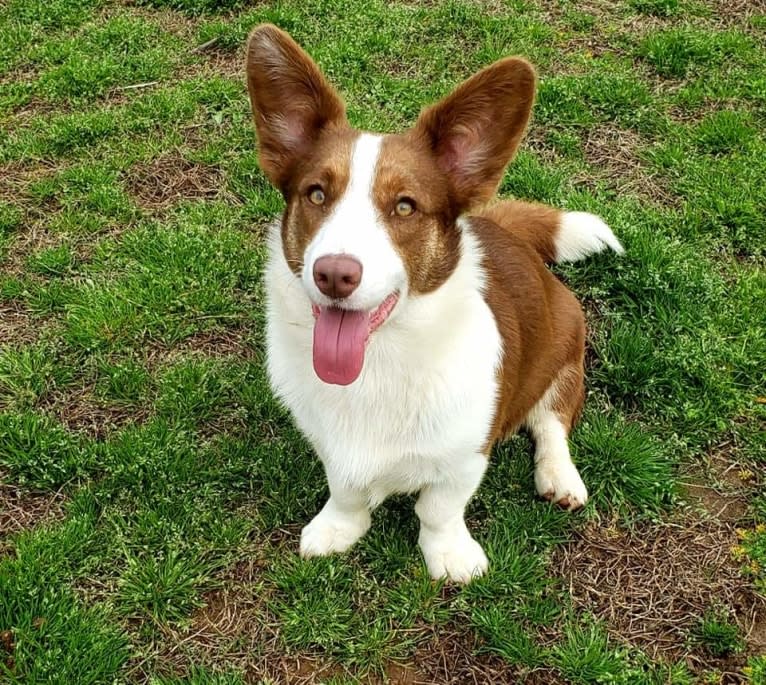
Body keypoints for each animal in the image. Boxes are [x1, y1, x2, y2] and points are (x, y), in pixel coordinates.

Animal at [246, 26, 624, 584]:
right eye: (316, 195)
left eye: (405, 206)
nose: (333, 274)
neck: (378, 365)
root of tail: (507, 231)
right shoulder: (329, 446)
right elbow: (346, 492)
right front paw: (337, 530)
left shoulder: (466, 454)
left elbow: (439, 508)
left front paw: (449, 557)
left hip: (565, 349)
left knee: (552, 422)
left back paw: (560, 478)